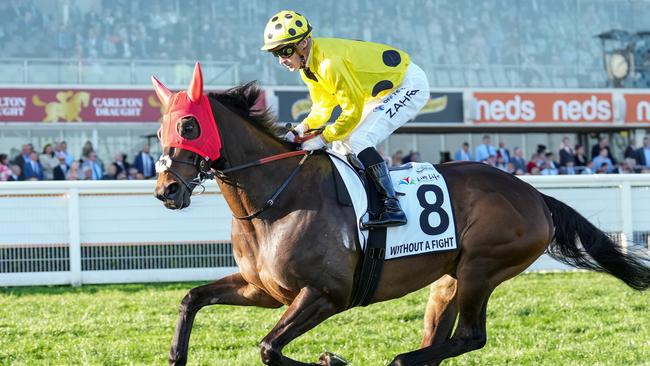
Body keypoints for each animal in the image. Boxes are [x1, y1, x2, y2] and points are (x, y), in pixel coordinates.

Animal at [153, 64, 648, 364]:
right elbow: (191, 298)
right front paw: (176, 354)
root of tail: (534, 194)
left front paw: (333, 358)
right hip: (449, 279)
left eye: (189, 126)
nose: (166, 190)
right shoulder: (264, 289)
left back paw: (398, 359)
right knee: (442, 340)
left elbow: (269, 348)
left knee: (470, 336)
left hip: (481, 267)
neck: (274, 201)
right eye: (160, 130)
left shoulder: (326, 294)